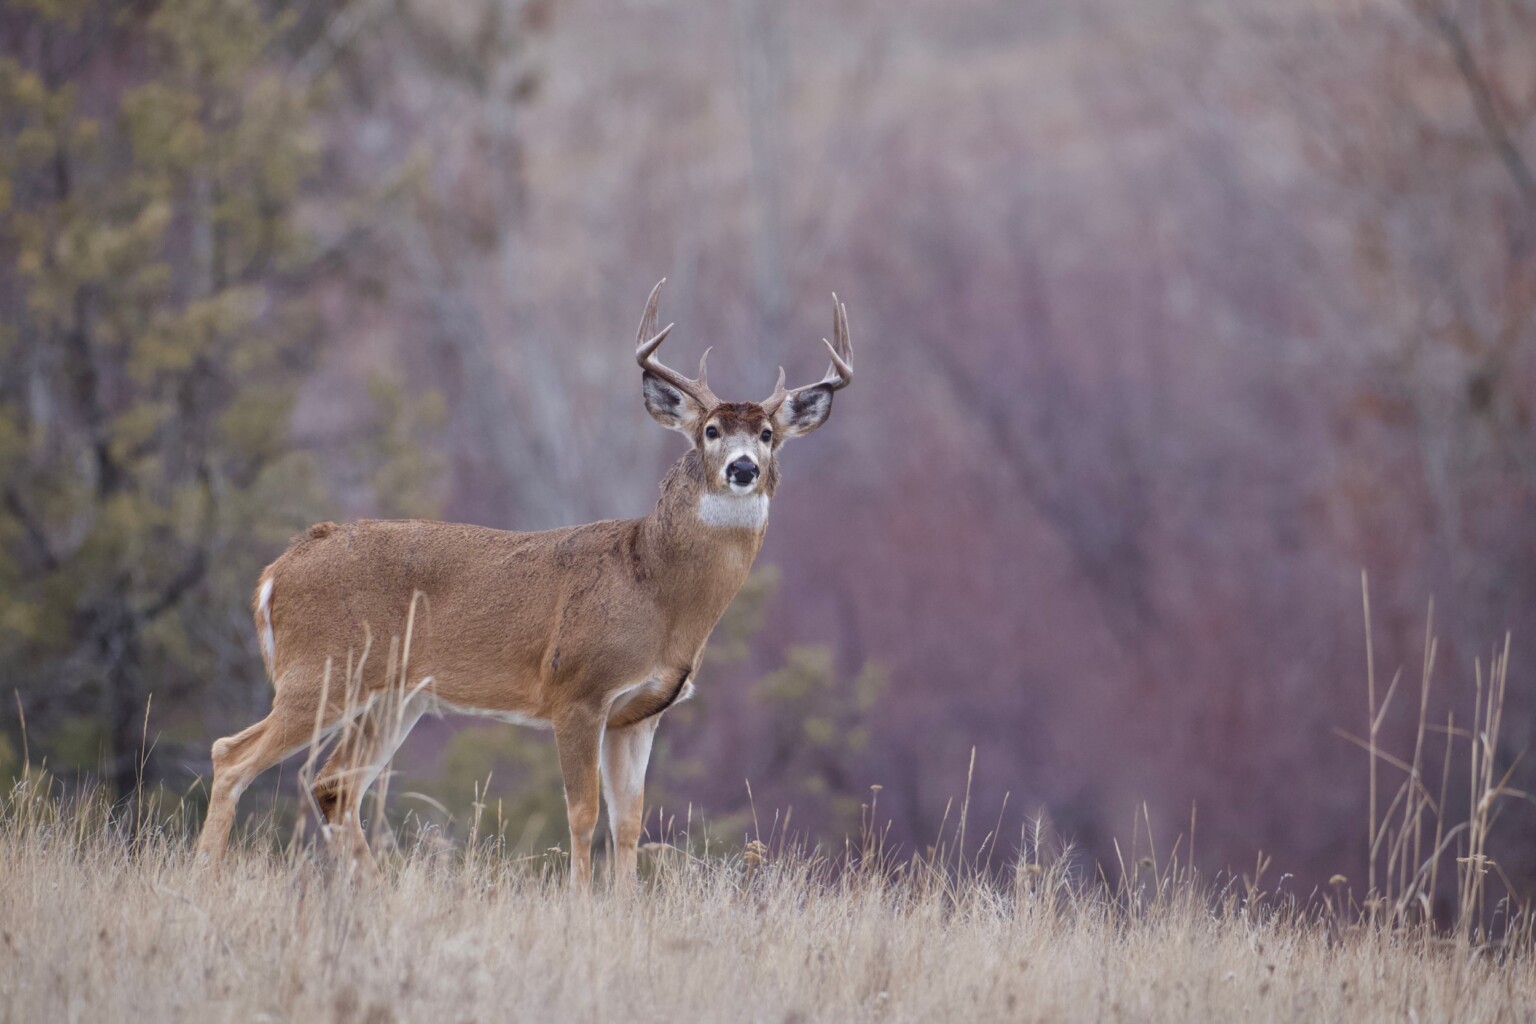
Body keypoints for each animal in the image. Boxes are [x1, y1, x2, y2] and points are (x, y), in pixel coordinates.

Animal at [195, 280, 854, 890]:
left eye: (767, 435)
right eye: (712, 430)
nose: (743, 468)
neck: (655, 590)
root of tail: (276, 571)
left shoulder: (640, 714)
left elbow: (630, 823)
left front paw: (624, 910)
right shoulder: (577, 691)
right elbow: (584, 814)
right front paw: (581, 906)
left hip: (393, 697)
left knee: (333, 783)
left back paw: (377, 892)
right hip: (321, 671)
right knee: (233, 756)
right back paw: (207, 879)